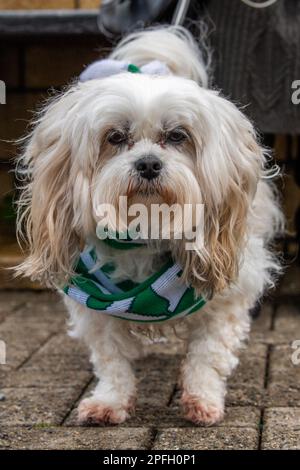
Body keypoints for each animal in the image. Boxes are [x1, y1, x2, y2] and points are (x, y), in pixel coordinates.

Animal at [16, 28, 282, 426]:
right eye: (114, 137)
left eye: (177, 136)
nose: (148, 164)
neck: (146, 231)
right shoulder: (94, 308)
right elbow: (111, 360)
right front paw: (110, 401)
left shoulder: (228, 298)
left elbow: (208, 355)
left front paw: (202, 399)